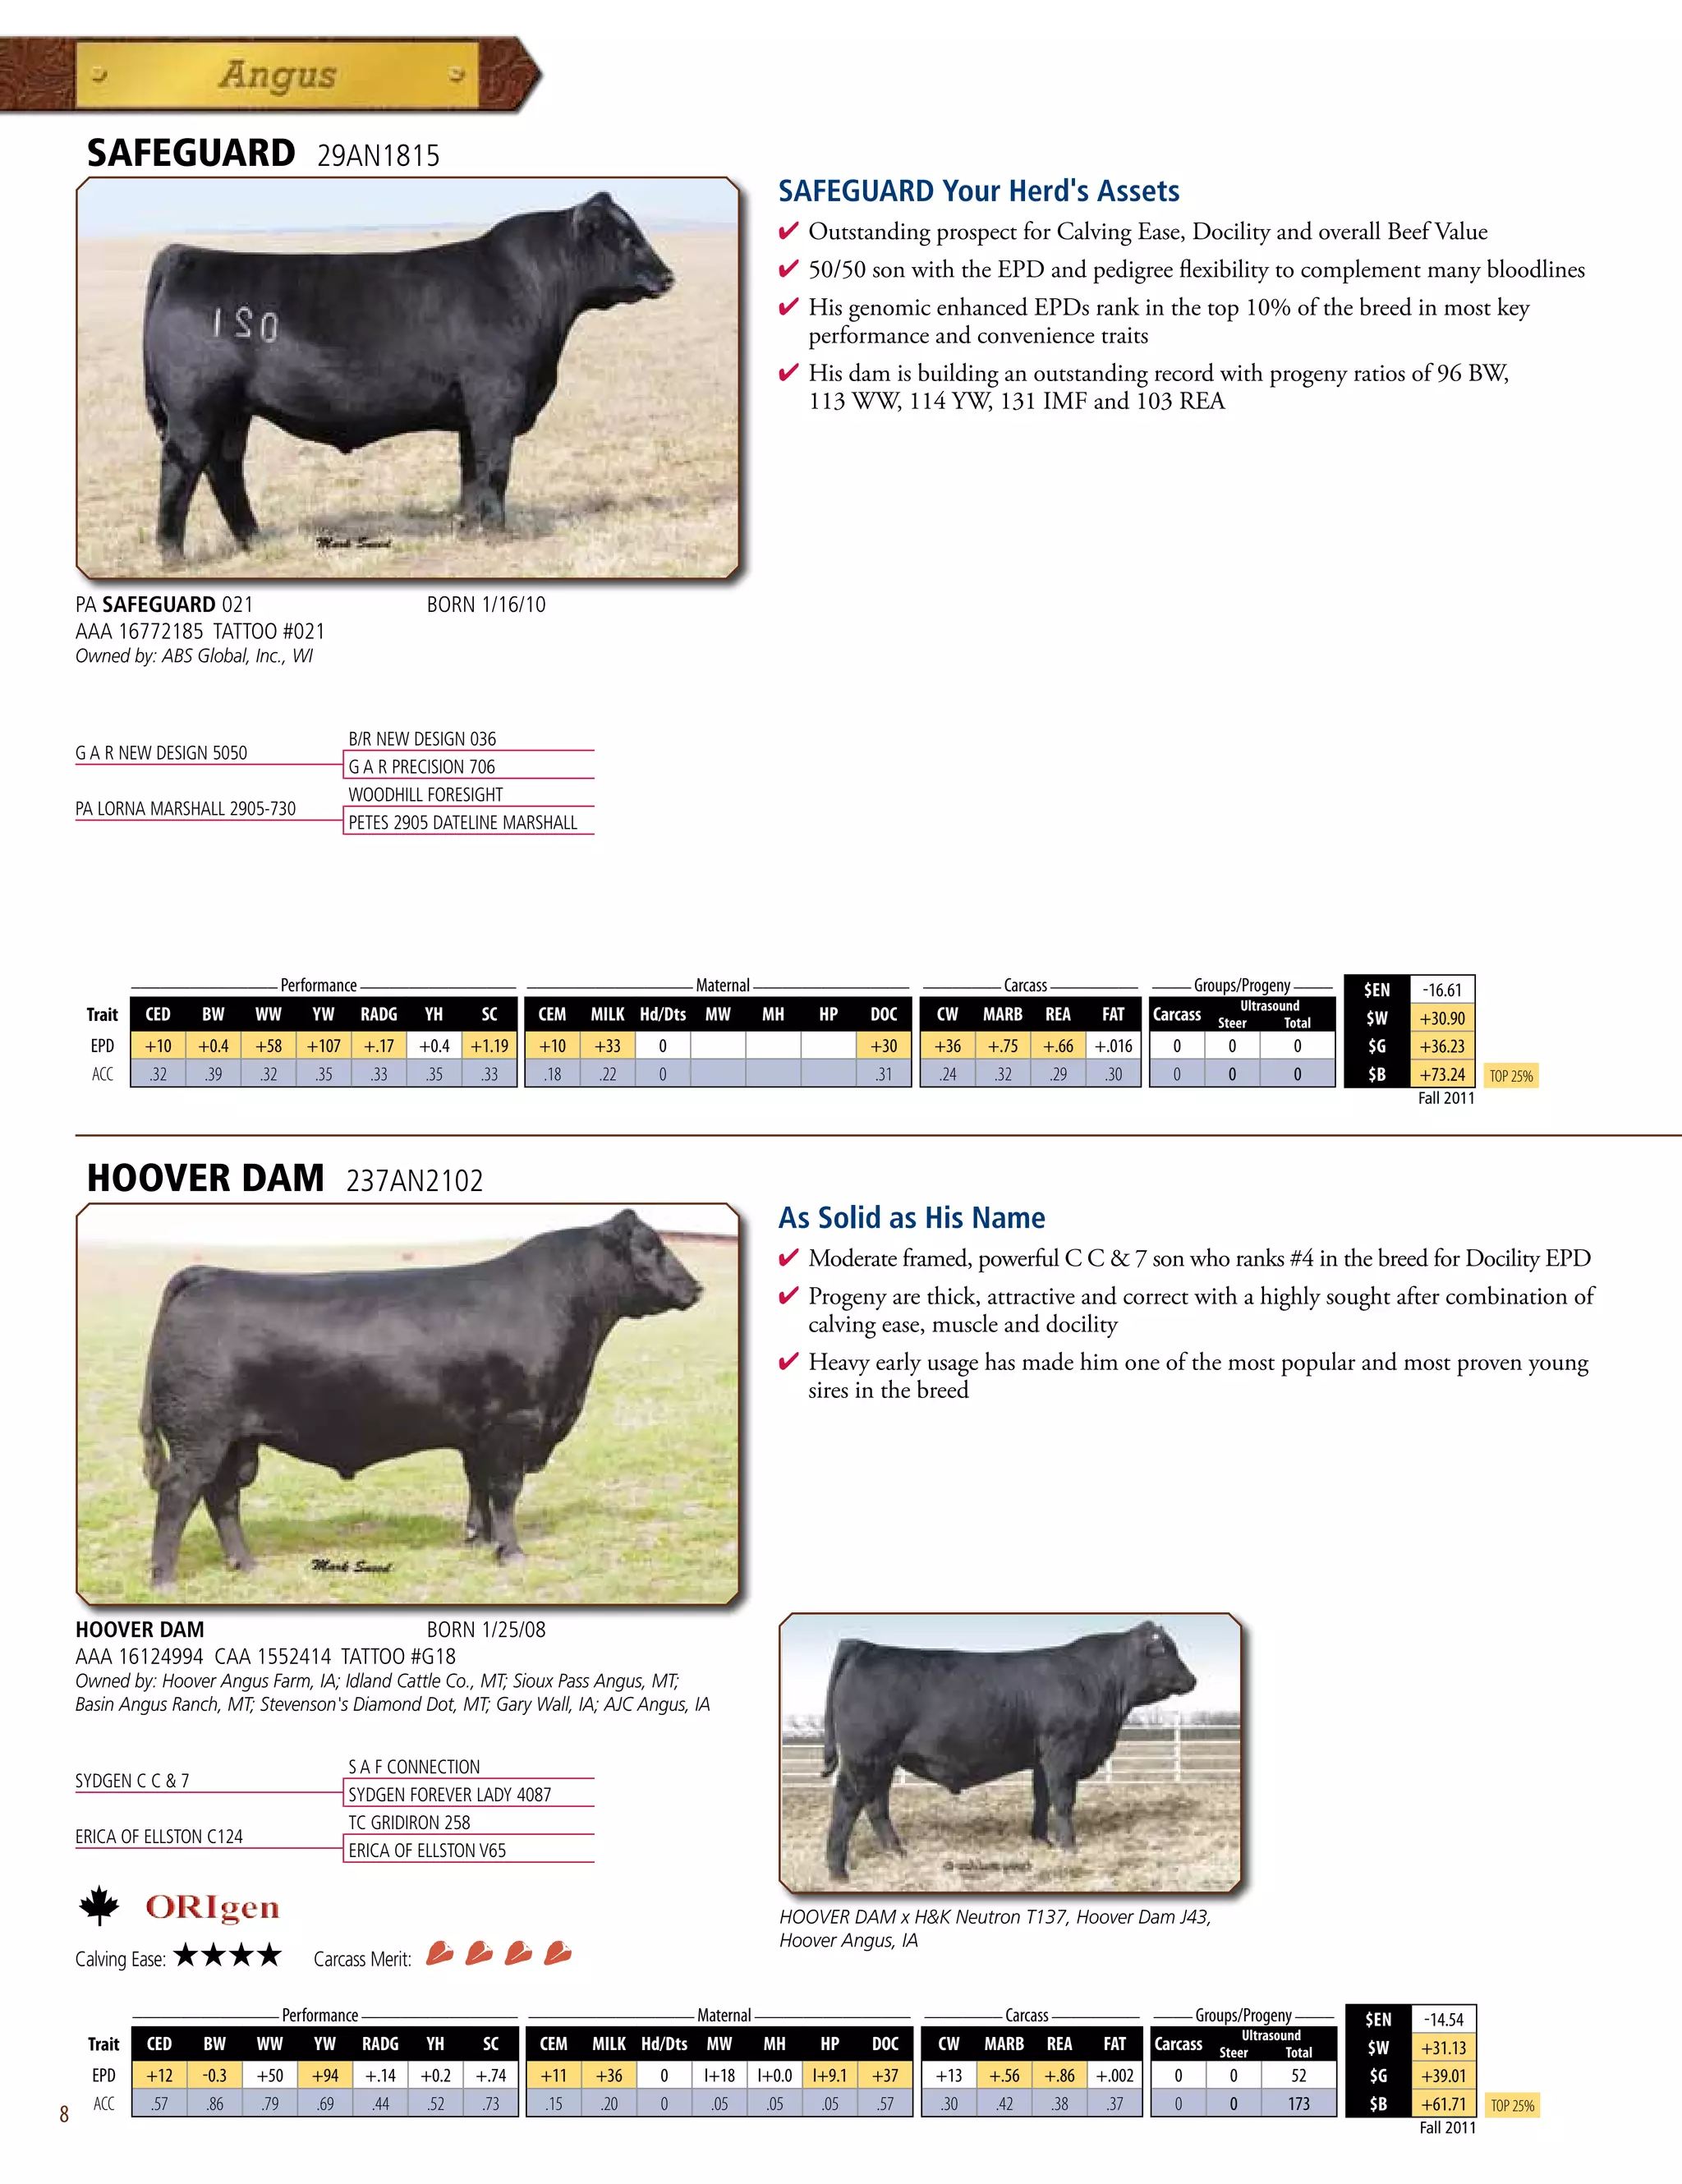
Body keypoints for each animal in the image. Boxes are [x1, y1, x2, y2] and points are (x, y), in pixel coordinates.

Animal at [137, 1210, 702, 1589]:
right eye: (653, 1246)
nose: (695, 1287)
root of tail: (209, 1273)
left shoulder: (479, 1433)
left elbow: (478, 1487)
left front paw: (478, 1538)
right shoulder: (516, 1422)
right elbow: (506, 1490)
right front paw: (511, 1552)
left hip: (235, 1442)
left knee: (223, 1498)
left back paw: (246, 1565)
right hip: (199, 1437)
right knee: (178, 1496)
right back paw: (164, 1578)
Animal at [140, 192, 676, 563]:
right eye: (627, 237)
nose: (668, 276)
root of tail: (186, 254)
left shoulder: (471, 410)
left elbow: (471, 470)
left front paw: (469, 527)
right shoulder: (498, 397)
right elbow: (496, 467)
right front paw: (498, 533)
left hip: (233, 413)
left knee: (225, 469)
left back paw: (254, 541)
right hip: (196, 411)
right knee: (181, 470)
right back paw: (173, 556)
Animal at [818, 1625, 1197, 1879]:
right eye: (1164, 1650)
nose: (1192, 1680)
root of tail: (864, 1646)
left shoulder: (1041, 1757)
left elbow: (1042, 1797)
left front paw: (1041, 1840)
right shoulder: (1063, 1749)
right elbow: (1064, 1800)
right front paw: (1069, 1847)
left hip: (881, 1762)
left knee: (876, 1805)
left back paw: (896, 1852)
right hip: (865, 1758)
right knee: (847, 1805)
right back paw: (838, 1871)